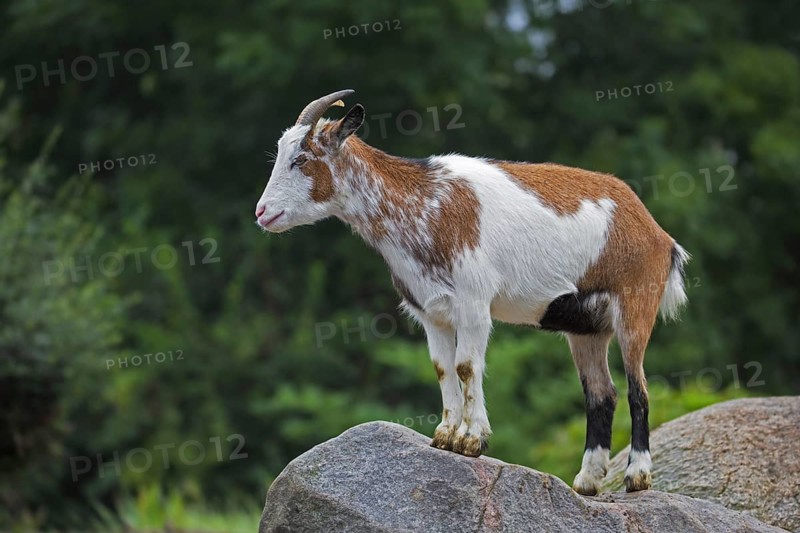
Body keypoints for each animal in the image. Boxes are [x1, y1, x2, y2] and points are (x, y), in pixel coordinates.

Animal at [255, 90, 689, 496]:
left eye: (302, 158)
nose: (262, 212)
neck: (426, 204)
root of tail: (657, 233)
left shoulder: (475, 303)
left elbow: (466, 365)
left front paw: (471, 439)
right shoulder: (430, 311)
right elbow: (442, 366)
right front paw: (445, 435)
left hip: (635, 303)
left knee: (637, 388)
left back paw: (636, 476)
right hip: (587, 326)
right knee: (602, 393)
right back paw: (586, 481)